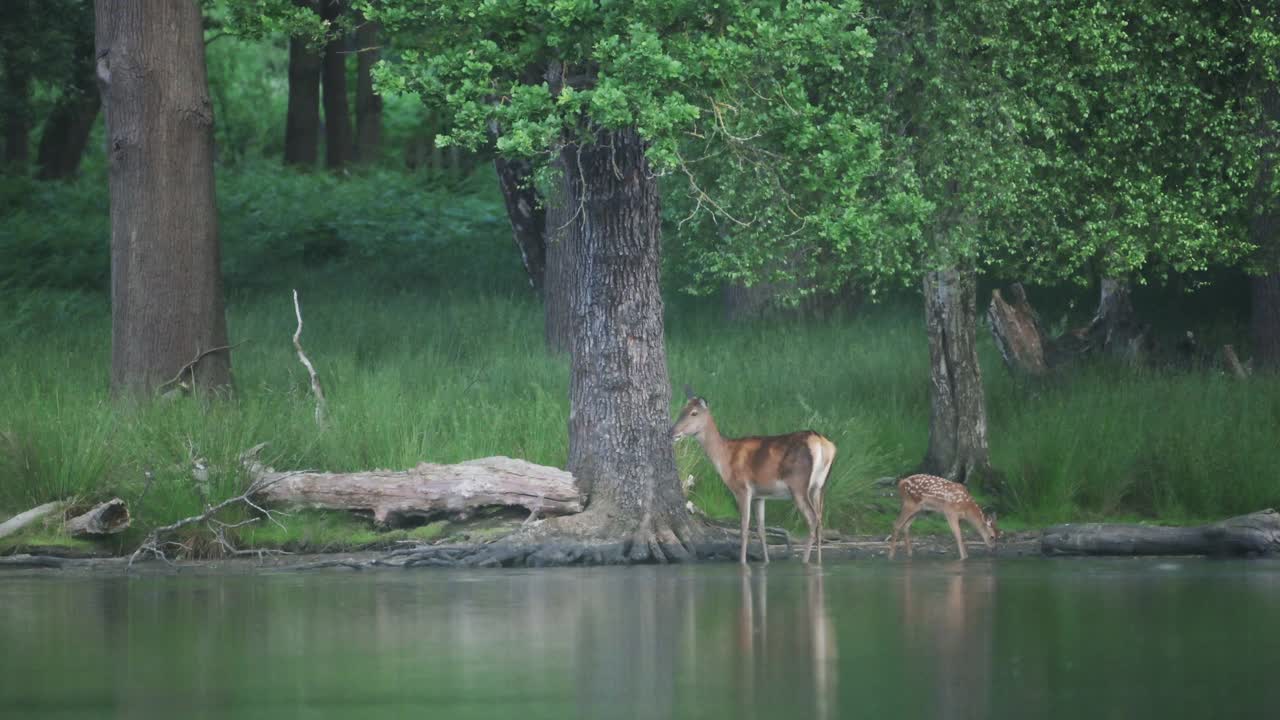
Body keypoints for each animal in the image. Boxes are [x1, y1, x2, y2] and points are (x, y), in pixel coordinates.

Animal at [670, 384, 839, 563]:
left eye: (694, 413)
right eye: (682, 410)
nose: (672, 432)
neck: (725, 457)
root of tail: (822, 443)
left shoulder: (742, 488)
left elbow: (744, 528)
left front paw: (743, 561)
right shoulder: (760, 495)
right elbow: (761, 530)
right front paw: (766, 561)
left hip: (798, 484)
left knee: (812, 519)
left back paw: (804, 560)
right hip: (820, 486)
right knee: (820, 520)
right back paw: (819, 561)